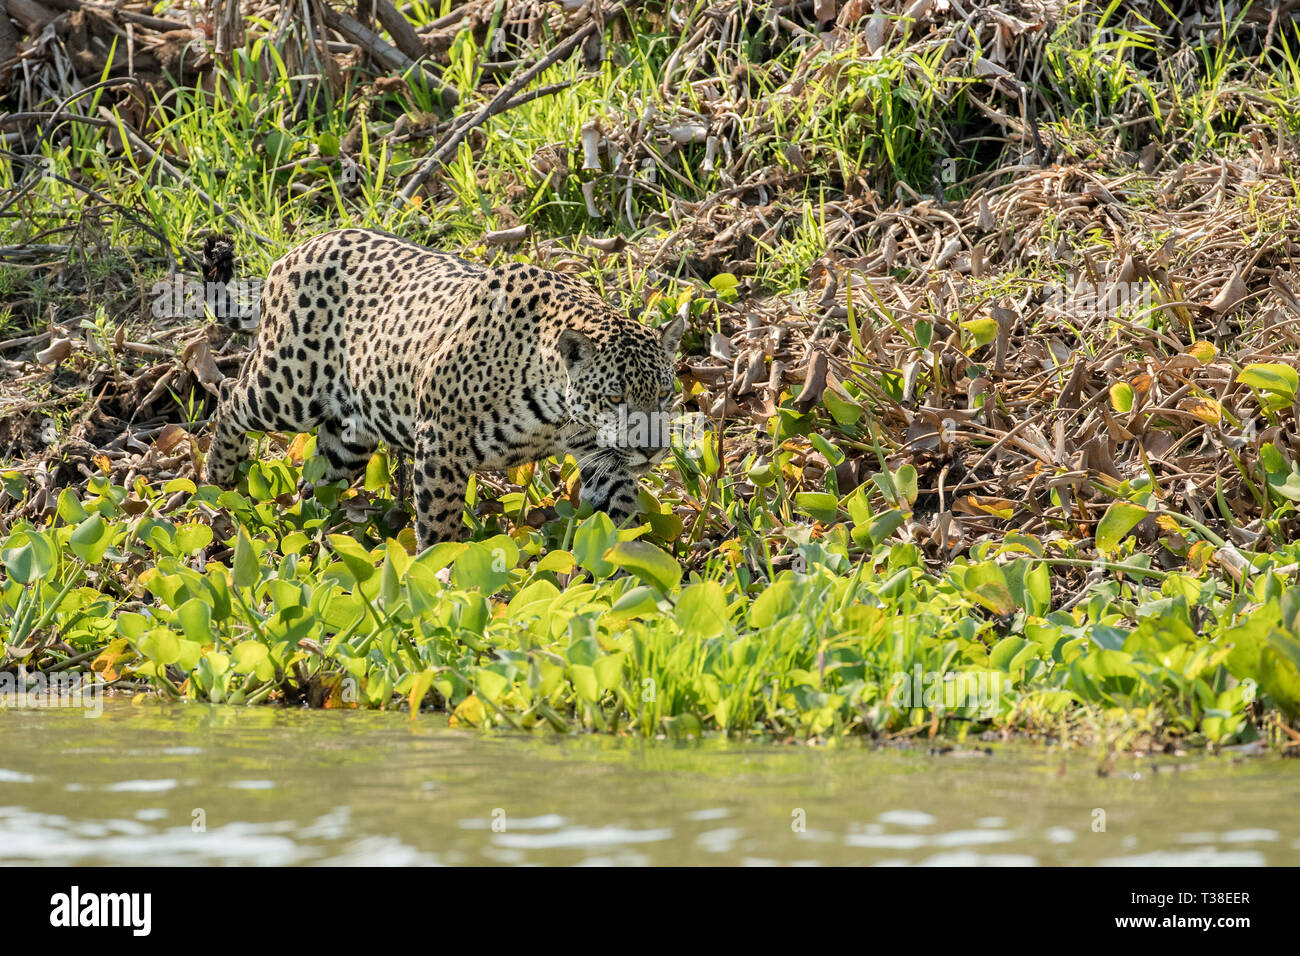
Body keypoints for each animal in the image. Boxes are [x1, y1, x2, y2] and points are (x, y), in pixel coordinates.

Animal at [203, 228, 684, 550]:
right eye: (615, 399)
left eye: (663, 394)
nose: (651, 450)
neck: (555, 413)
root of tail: (297, 250)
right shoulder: (439, 442)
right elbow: (439, 522)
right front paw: (437, 579)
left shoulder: (601, 455)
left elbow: (617, 510)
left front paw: (614, 568)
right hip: (287, 386)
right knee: (229, 395)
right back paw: (219, 479)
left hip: (348, 438)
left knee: (318, 479)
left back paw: (314, 526)